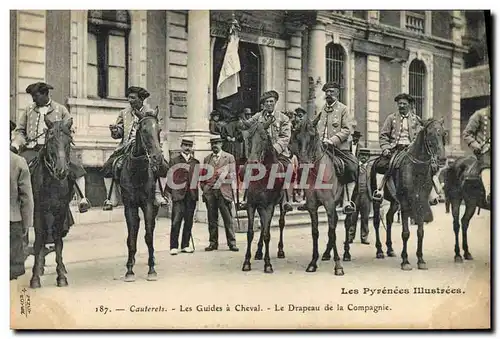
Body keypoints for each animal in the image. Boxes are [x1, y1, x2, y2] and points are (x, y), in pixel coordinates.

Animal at [29, 117, 75, 290]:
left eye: (68, 140)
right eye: (50, 140)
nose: (62, 171)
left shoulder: (61, 211)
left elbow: (57, 240)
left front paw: (61, 276)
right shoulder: (38, 211)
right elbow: (39, 239)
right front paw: (35, 277)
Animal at [116, 109, 165, 282]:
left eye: (159, 130)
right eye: (143, 130)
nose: (158, 157)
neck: (137, 172)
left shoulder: (148, 205)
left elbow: (149, 236)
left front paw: (152, 270)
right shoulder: (130, 206)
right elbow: (131, 237)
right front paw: (129, 270)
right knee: (134, 229)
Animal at [239, 117, 288, 274]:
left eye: (264, 138)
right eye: (248, 138)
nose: (252, 163)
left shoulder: (269, 206)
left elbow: (267, 234)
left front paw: (268, 264)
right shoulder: (251, 205)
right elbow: (250, 233)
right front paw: (246, 262)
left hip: (279, 206)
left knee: (280, 223)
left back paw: (280, 250)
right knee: (262, 224)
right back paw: (259, 252)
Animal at [292, 115, 346, 274]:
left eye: (312, 136)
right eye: (297, 136)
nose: (304, 162)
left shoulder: (329, 204)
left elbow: (332, 232)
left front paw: (338, 265)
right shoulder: (312, 205)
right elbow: (315, 232)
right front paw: (313, 262)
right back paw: (327, 253)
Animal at [370, 118, 448, 270]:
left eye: (443, 134)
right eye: (429, 133)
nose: (442, 159)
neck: (416, 168)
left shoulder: (421, 202)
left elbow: (420, 232)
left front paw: (421, 260)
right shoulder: (405, 204)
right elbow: (405, 233)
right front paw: (405, 261)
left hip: (394, 202)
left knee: (388, 219)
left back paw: (390, 249)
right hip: (377, 200)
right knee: (376, 222)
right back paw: (379, 250)